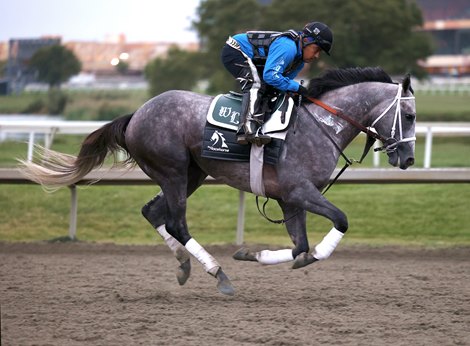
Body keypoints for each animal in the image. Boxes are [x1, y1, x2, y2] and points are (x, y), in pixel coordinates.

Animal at [20, 67, 414, 294]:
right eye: (409, 115)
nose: (408, 159)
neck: (321, 125)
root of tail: (137, 114)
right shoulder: (299, 190)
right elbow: (341, 221)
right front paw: (310, 255)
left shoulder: (289, 198)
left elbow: (300, 246)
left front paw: (252, 254)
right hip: (174, 171)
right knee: (176, 223)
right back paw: (218, 274)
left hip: (192, 174)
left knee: (153, 213)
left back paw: (184, 266)